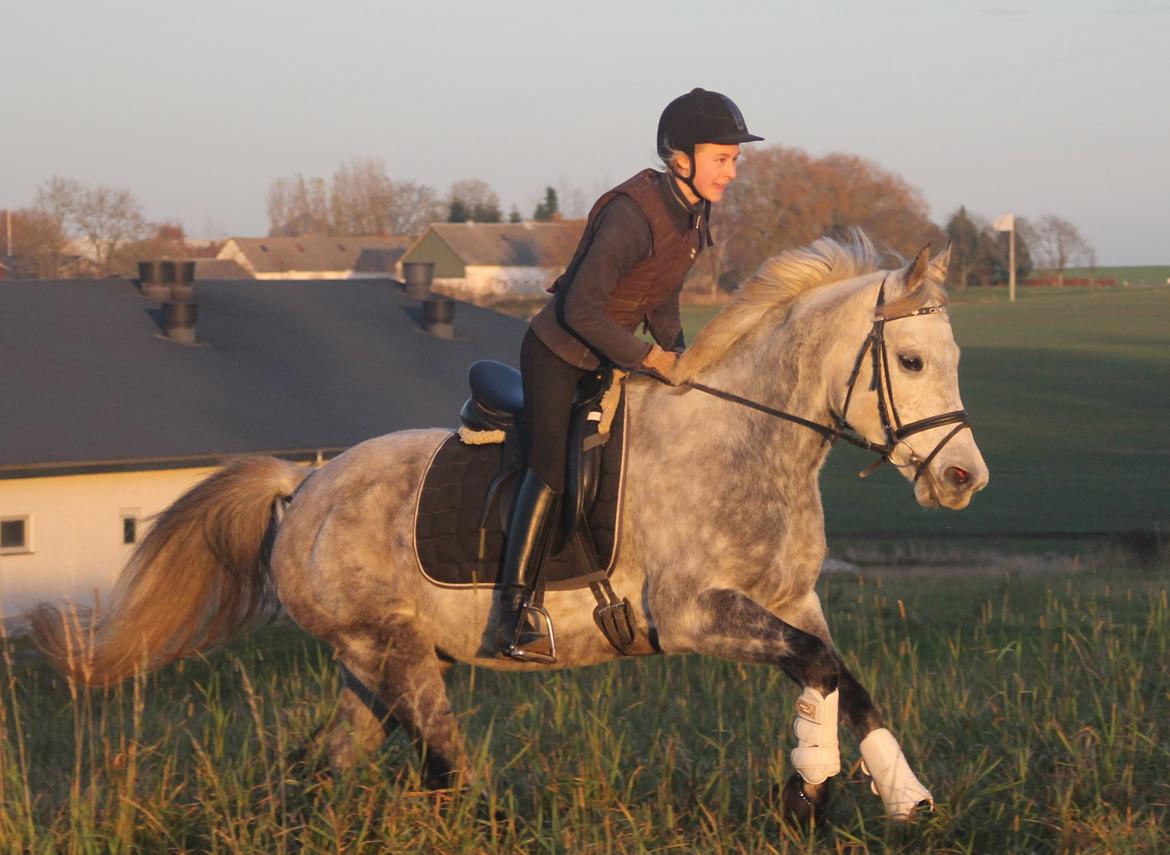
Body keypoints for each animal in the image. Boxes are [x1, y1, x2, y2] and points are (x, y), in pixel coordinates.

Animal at [32, 232, 987, 823]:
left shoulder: (791, 601)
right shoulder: (692, 613)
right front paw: (811, 787)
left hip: (372, 669)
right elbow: (821, 669)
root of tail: (302, 489)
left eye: (953, 358)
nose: (963, 478)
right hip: (396, 654)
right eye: (910, 361)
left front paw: (887, 791)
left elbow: (841, 676)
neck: (746, 440)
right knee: (445, 768)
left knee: (330, 761)